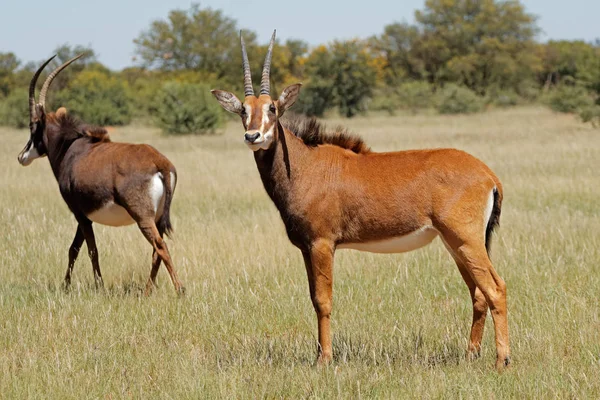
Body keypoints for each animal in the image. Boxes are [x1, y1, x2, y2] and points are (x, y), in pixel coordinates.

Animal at [18, 55, 183, 294]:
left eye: (33, 127)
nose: (21, 156)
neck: (71, 149)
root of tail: (159, 162)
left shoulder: (79, 213)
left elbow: (90, 250)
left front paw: (98, 286)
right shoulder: (84, 216)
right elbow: (74, 249)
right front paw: (66, 286)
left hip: (142, 217)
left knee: (160, 246)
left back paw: (179, 290)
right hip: (159, 218)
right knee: (156, 251)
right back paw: (147, 291)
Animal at [212, 32, 510, 370]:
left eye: (273, 107)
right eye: (243, 110)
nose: (253, 137)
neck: (304, 164)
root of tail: (489, 176)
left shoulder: (323, 244)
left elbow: (323, 300)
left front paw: (324, 359)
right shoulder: (306, 248)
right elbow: (313, 298)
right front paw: (318, 354)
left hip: (466, 240)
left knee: (495, 288)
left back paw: (502, 360)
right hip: (455, 244)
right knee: (477, 292)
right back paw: (471, 355)